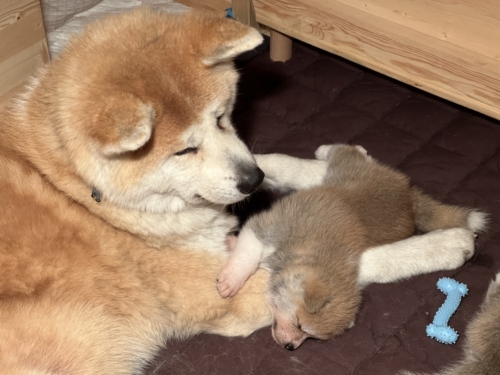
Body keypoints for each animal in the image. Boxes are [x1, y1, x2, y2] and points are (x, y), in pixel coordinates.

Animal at [217, 145, 482, 352]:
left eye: (309, 335)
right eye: (300, 325)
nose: (290, 347)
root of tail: (408, 192)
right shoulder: (266, 228)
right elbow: (246, 255)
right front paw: (231, 278)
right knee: (340, 153)